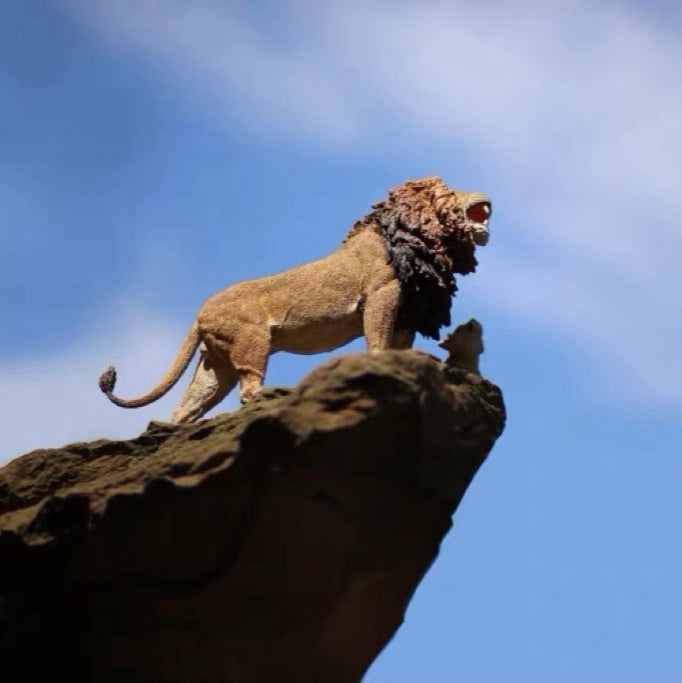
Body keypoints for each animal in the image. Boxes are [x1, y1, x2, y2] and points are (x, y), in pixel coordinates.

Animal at [99, 176, 492, 423]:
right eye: (449, 190)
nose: (485, 197)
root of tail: (199, 314)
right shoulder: (382, 293)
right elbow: (378, 339)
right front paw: (381, 363)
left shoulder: (409, 313)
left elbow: (401, 345)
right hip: (252, 340)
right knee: (248, 387)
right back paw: (271, 397)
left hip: (216, 363)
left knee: (188, 406)